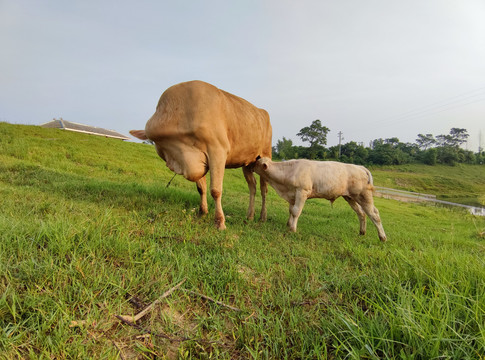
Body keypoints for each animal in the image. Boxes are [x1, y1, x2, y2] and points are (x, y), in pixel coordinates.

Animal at [129, 80, 272, 229]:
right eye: (162, 151)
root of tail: (262, 111)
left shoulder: (217, 151)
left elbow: (215, 190)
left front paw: (220, 221)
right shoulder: (200, 159)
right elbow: (201, 187)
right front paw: (202, 212)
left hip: (265, 156)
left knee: (263, 188)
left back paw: (262, 217)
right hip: (247, 161)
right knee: (252, 185)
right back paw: (250, 215)